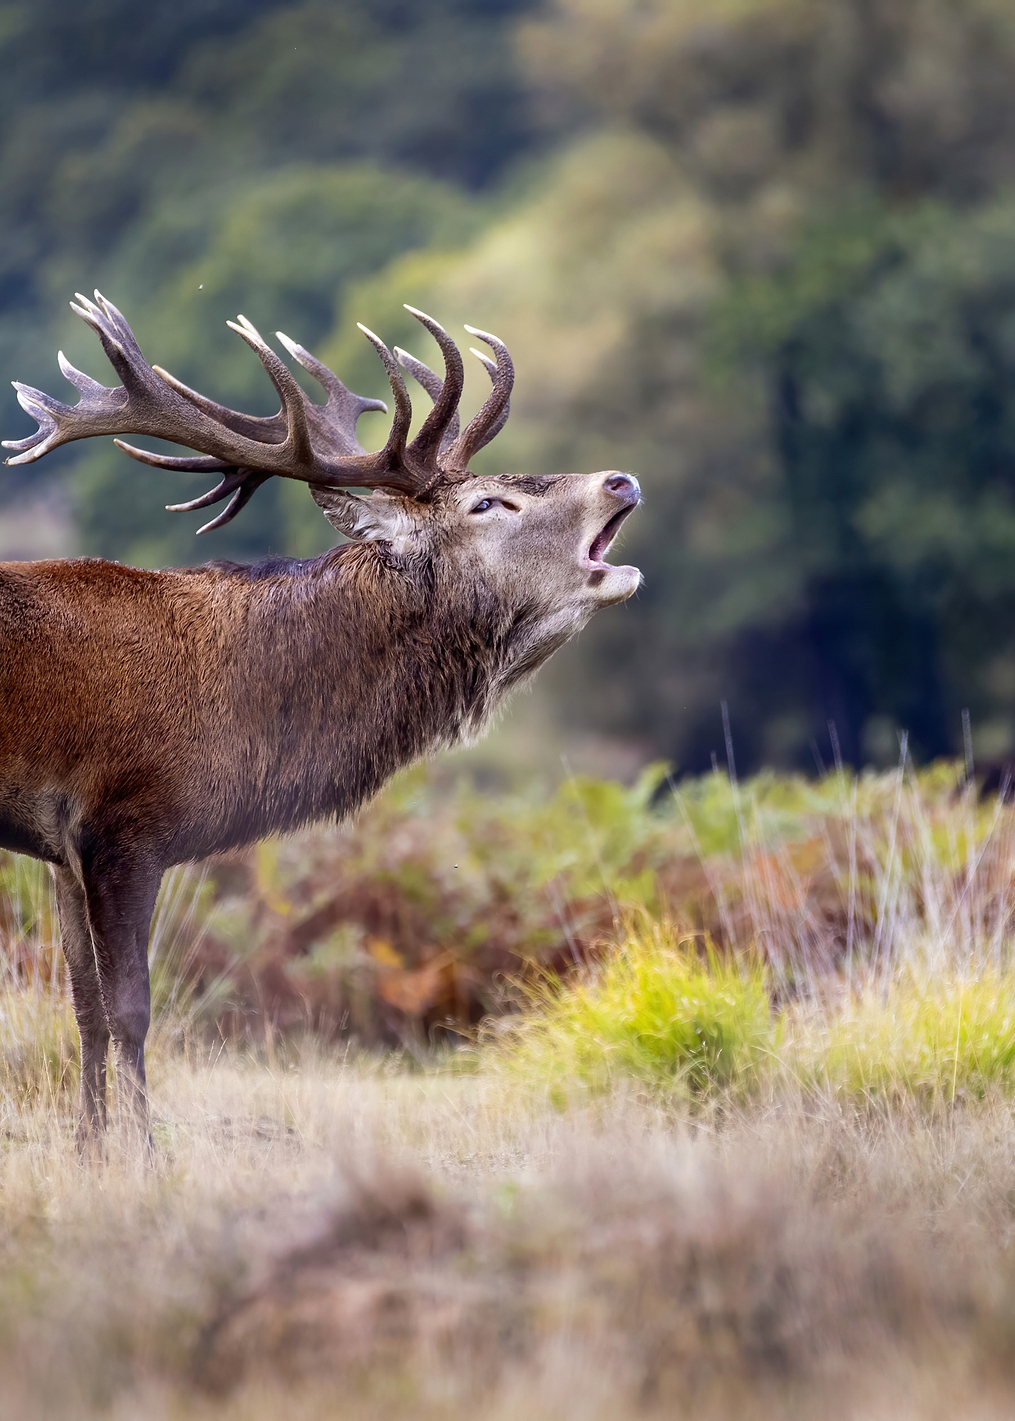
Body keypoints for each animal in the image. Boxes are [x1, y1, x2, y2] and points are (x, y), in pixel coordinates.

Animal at [0, 291, 641, 1142]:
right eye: (487, 502)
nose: (620, 480)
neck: (239, 710)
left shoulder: (60, 848)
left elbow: (83, 1009)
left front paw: (91, 1145)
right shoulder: (121, 826)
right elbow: (130, 1007)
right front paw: (144, 1150)